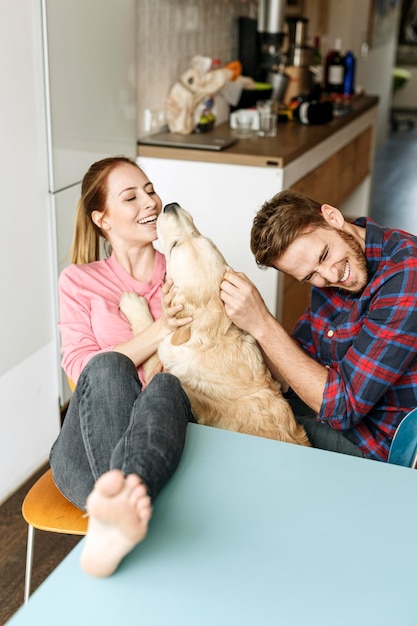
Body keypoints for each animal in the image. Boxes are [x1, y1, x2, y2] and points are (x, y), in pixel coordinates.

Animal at [120, 204, 308, 444]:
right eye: (197, 234)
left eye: (174, 246)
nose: (171, 205)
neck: (213, 333)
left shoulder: (166, 360)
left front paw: (132, 303)